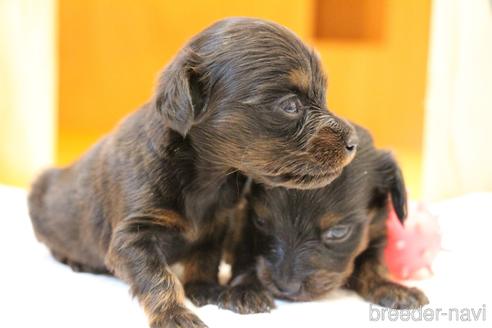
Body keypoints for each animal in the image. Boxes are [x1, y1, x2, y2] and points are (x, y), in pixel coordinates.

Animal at [26, 18, 358, 328]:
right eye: (290, 105)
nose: (353, 141)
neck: (205, 177)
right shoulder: (132, 237)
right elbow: (157, 278)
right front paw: (174, 314)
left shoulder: (218, 223)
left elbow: (204, 257)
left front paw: (205, 288)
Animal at [220, 124, 430, 314]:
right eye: (260, 221)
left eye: (338, 232)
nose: (285, 287)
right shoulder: (243, 220)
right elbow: (245, 255)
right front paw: (245, 289)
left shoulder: (377, 232)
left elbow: (374, 264)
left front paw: (392, 288)